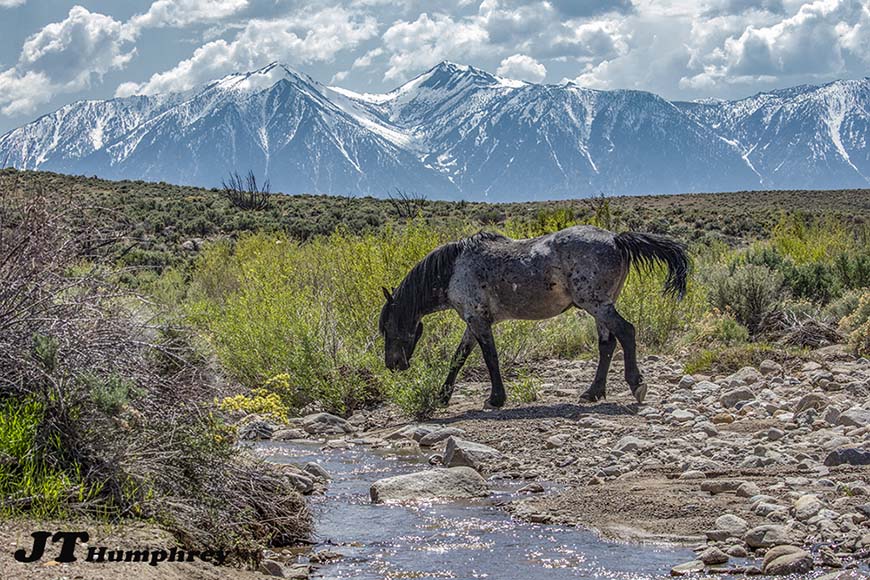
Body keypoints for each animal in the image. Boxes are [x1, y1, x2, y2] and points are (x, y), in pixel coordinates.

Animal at [378, 224, 692, 410]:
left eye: (388, 326)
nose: (393, 365)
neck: (454, 268)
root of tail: (616, 238)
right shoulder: (473, 321)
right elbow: (459, 357)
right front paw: (443, 396)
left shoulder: (478, 320)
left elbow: (489, 357)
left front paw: (495, 398)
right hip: (600, 307)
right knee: (607, 345)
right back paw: (592, 392)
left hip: (597, 305)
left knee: (626, 332)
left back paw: (636, 384)